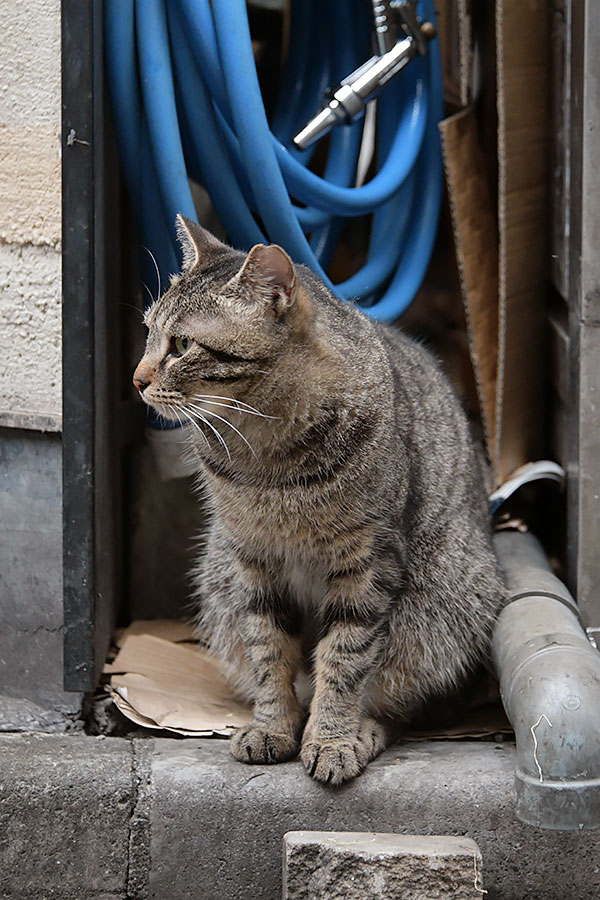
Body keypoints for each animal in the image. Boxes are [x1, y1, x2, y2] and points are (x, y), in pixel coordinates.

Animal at [134, 214, 504, 784]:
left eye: (180, 345)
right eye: (149, 331)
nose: (136, 379)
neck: (265, 455)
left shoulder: (367, 564)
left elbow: (345, 660)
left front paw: (331, 737)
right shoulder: (251, 561)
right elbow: (268, 652)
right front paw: (273, 726)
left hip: (444, 602)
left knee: (402, 694)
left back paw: (364, 729)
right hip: (217, 579)